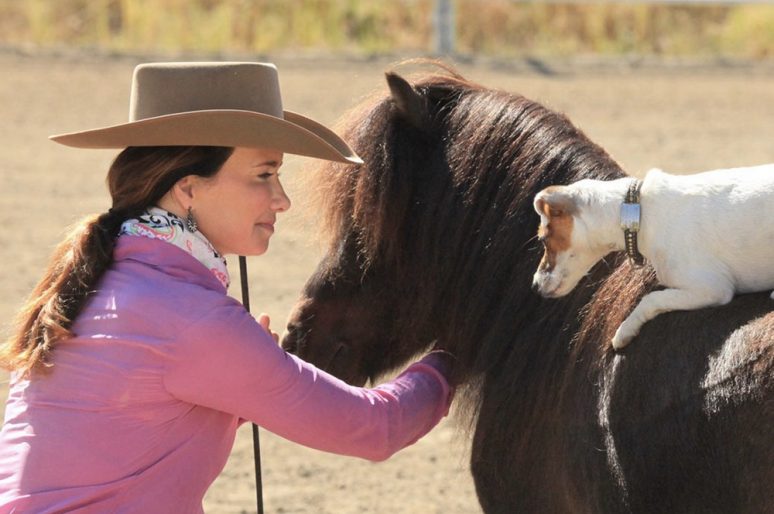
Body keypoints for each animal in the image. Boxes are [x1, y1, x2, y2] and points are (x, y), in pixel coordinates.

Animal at [532, 164, 774, 348]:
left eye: (543, 239)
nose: (534, 285)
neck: (639, 212)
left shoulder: (713, 288)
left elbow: (651, 298)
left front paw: (624, 330)